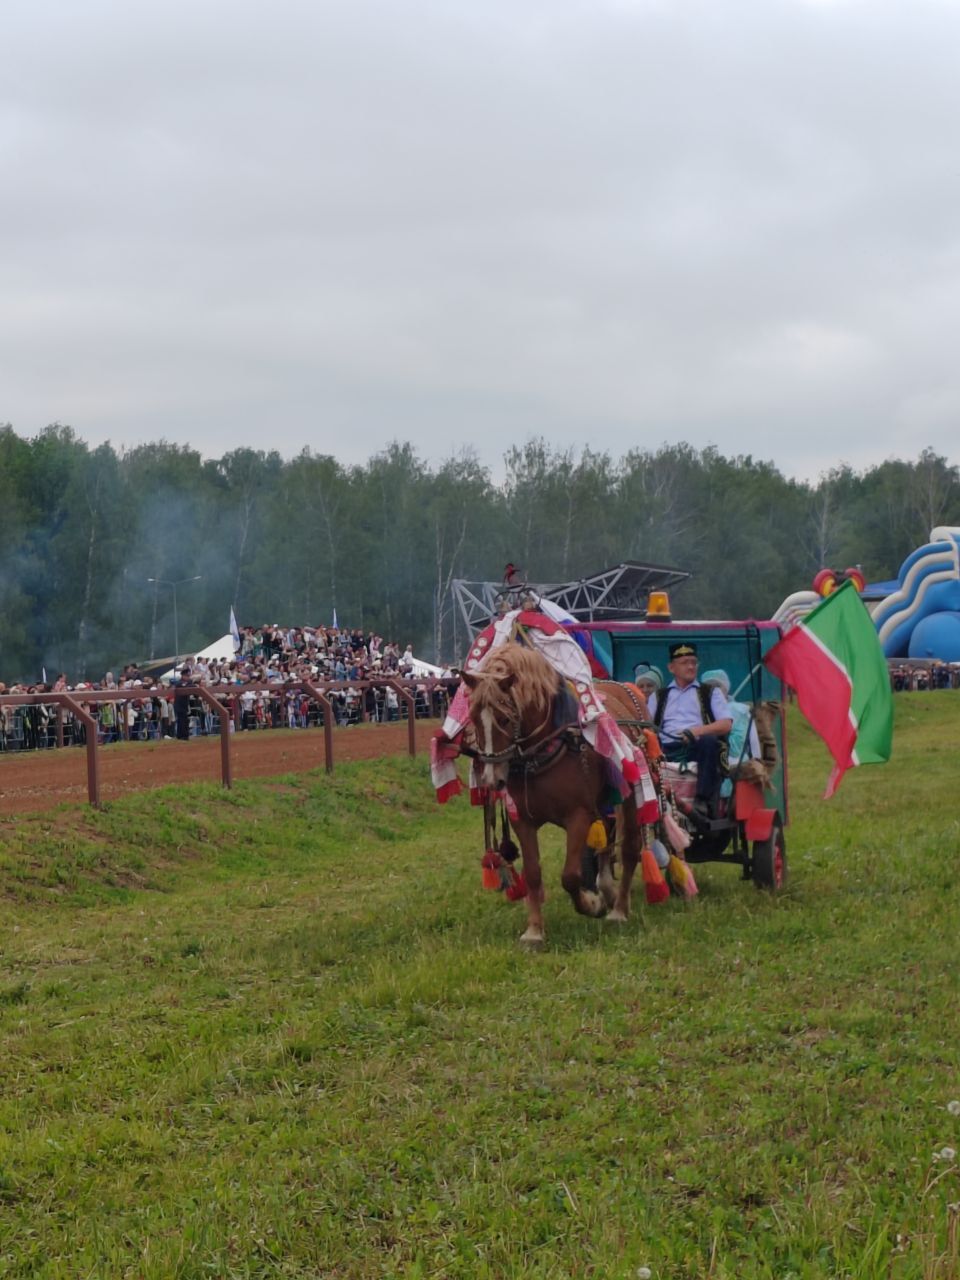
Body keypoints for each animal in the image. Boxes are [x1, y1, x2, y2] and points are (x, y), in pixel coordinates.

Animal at [463, 645, 642, 947]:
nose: (490, 779)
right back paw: (608, 891)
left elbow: (570, 876)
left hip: (629, 795)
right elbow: (533, 874)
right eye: (474, 717)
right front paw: (534, 931)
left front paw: (591, 904)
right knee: (606, 845)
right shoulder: (523, 820)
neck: (547, 748)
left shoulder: (579, 816)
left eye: (504, 719)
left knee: (629, 849)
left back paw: (618, 909)